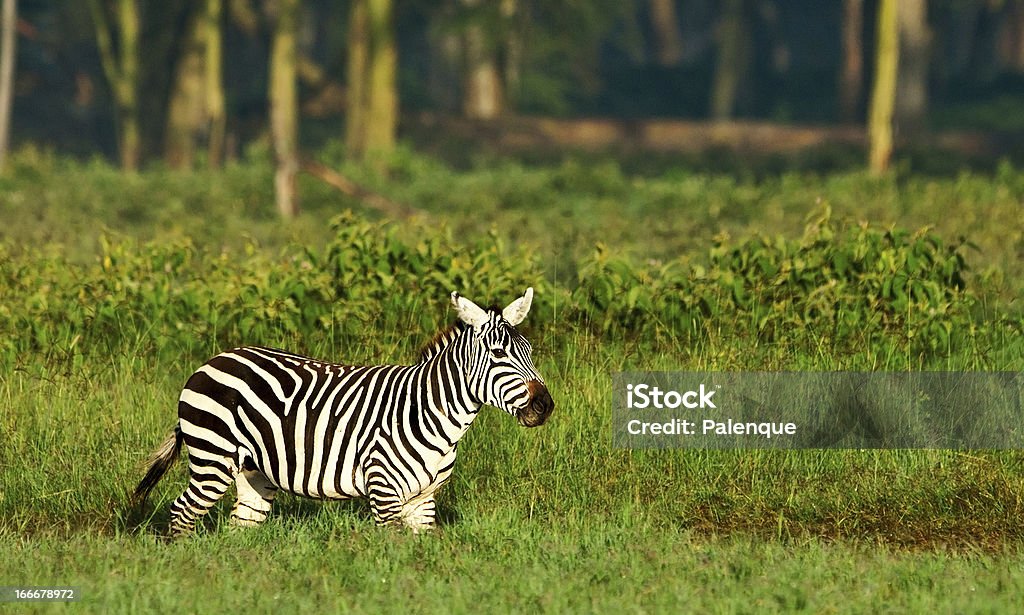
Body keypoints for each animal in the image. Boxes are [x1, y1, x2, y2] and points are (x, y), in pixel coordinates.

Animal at [134, 288, 561, 532]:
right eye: (499, 353)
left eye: (530, 351)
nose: (544, 405)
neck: (434, 415)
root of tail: (213, 360)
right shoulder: (384, 492)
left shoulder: (423, 501)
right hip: (213, 459)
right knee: (181, 514)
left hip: (253, 473)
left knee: (242, 527)